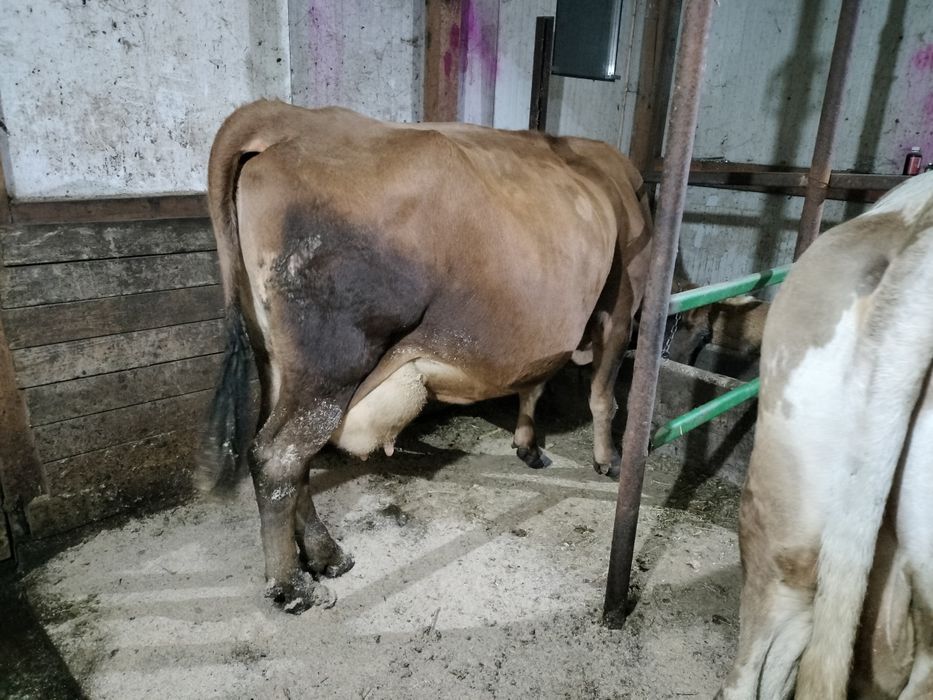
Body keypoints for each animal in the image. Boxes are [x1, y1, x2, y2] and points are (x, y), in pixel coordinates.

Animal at [198, 100, 653, 612]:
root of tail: (293, 116)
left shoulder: (543, 335)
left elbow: (533, 383)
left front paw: (527, 444)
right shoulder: (621, 309)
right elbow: (604, 396)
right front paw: (607, 460)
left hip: (278, 362)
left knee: (294, 461)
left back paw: (326, 555)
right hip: (331, 367)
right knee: (277, 456)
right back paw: (293, 586)